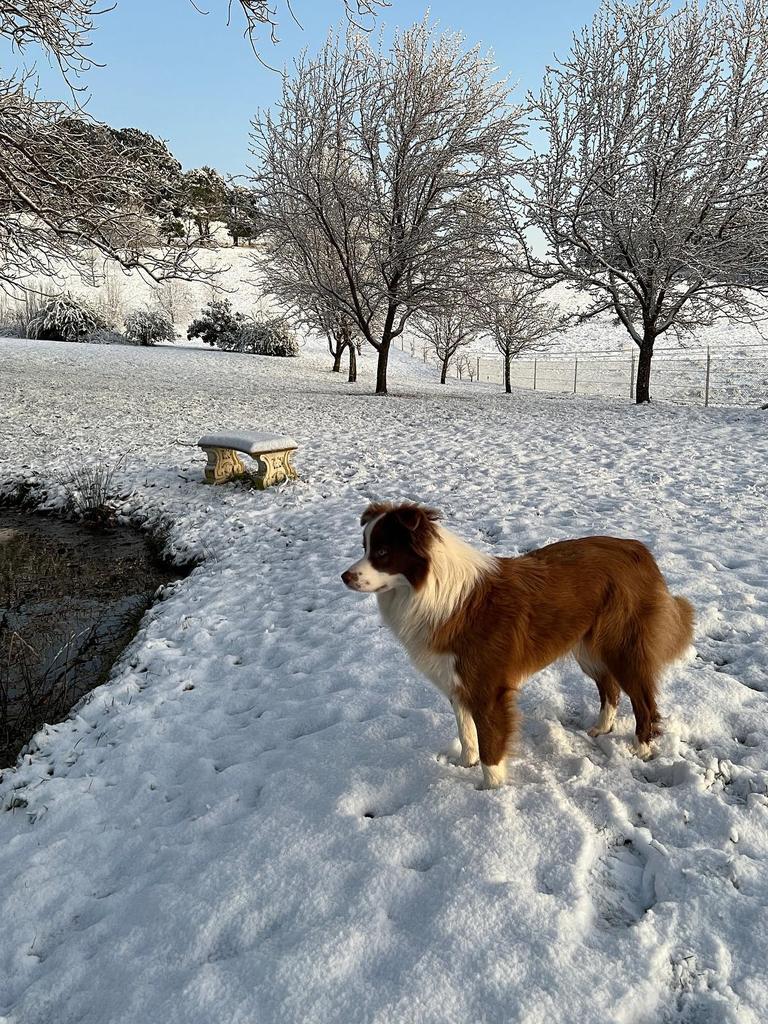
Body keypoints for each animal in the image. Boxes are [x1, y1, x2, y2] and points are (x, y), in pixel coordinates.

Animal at [339, 503, 696, 790]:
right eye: (365, 546)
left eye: (382, 552)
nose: (344, 576)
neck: (432, 592)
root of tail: (638, 548)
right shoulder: (458, 683)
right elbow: (466, 734)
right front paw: (465, 765)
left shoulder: (488, 690)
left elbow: (490, 748)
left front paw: (491, 794)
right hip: (588, 647)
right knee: (610, 687)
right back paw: (601, 728)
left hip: (621, 646)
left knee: (643, 698)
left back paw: (642, 748)